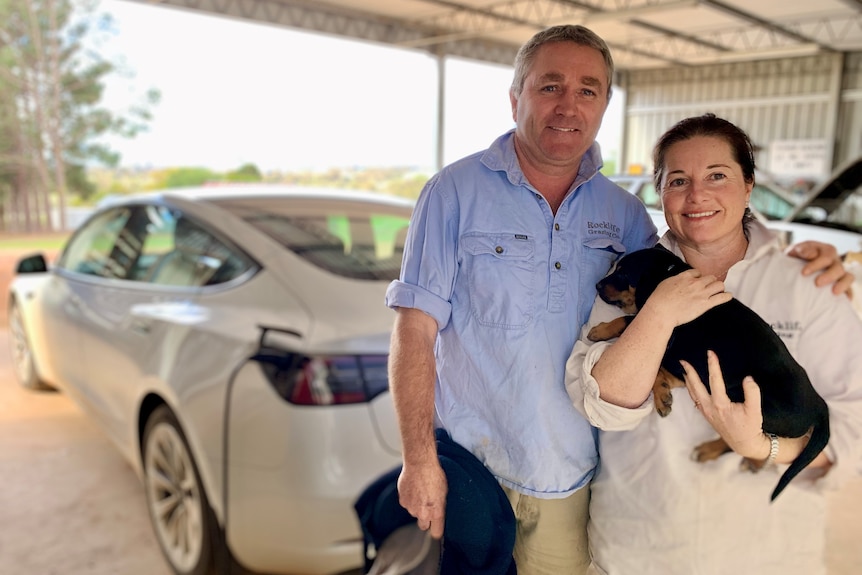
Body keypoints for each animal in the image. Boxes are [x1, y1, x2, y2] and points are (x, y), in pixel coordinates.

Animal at [588, 245, 832, 502]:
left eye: (624, 273)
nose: (597, 285)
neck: (667, 272)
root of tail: (820, 405)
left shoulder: (667, 333)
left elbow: (627, 320)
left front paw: (599, 330)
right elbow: (657, 368)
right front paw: (663, 396)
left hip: (746, 401)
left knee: (742, 439)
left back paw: (709, 451)